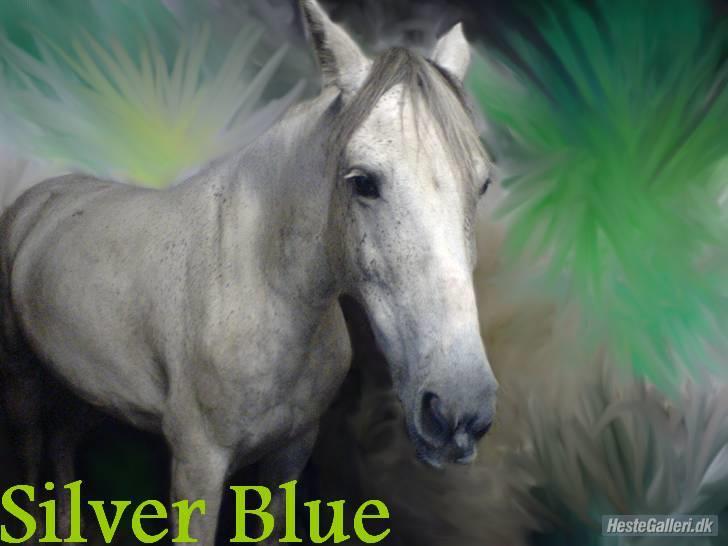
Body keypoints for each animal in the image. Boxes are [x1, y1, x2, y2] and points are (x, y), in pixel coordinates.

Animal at [0, 0, 498, 542]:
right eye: (363, 181)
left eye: (482, 184)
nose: (458, 411)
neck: (258, 289)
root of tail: (39, 199)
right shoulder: (198, 466)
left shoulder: (292, 452)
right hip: (21, 385)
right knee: (31, 447)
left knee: (62, 441)